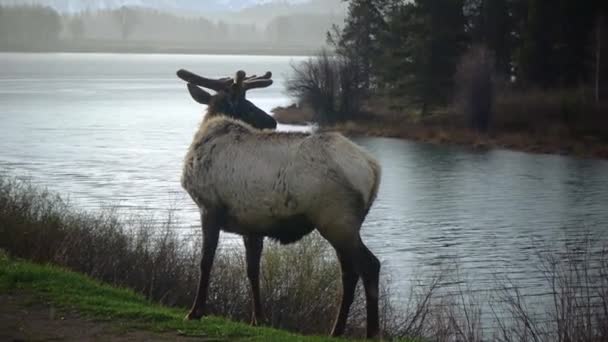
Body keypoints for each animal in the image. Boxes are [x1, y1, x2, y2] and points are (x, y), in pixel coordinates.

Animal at [178, 68, 382, 338]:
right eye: (248, 104)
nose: (271, 121)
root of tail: (373, 169)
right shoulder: (251, 225)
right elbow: (252, 269)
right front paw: (258, 318)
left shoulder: (209, 207)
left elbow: (205, 261)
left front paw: (195, 311)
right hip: (343, 224)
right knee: (349, 272)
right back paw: (336, 331)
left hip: (336, 220)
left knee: (369, 266)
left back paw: (372, 333)